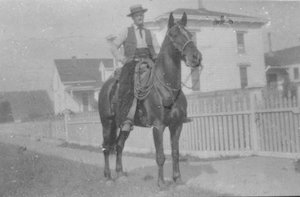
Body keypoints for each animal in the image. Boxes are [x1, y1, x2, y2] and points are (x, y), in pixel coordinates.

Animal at [98, 11, 202, 187]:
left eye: (189, 34)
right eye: (174, 34)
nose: (196, 57)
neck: (166, 87)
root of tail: (106, 86)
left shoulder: (177, 125)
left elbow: (175, 153)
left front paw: (178, 179)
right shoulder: (158, 126)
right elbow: (160, 155)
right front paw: (161, 184)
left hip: (124, 126)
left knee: (119, 145)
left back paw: (120, 174)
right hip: (107, 123)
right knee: (106, 147)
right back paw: (108, 177)